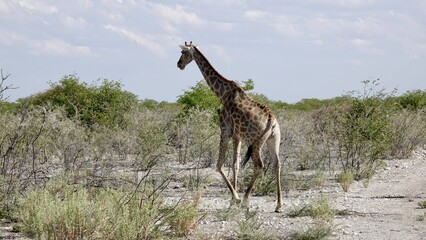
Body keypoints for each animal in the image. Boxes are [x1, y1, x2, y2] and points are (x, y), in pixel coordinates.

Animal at [176, 41, 282, 212]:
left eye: (183, 52)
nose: (179, 64)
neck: (222, 93)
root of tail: (271, 120)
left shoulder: (225, 130)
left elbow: (219, 165)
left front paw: (236, 198)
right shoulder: (237, 136)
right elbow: (235, 165)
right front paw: (232, 199)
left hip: (256, 142)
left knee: (259, 165)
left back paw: (245, 200)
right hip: (273, 140)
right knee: (277, 164)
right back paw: (279, 204)